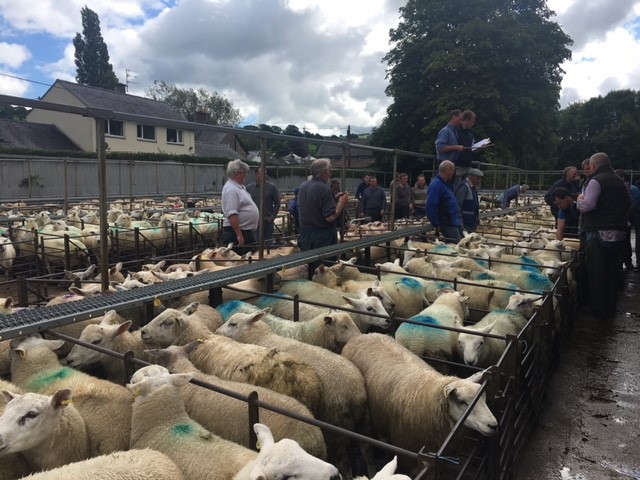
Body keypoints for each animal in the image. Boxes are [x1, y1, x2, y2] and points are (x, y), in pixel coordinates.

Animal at [341, 333, 498, 468]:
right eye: (462, 402)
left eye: (483, 397)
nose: (494, 425)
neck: (431, 395)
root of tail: (360, 336)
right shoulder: (405, 451)